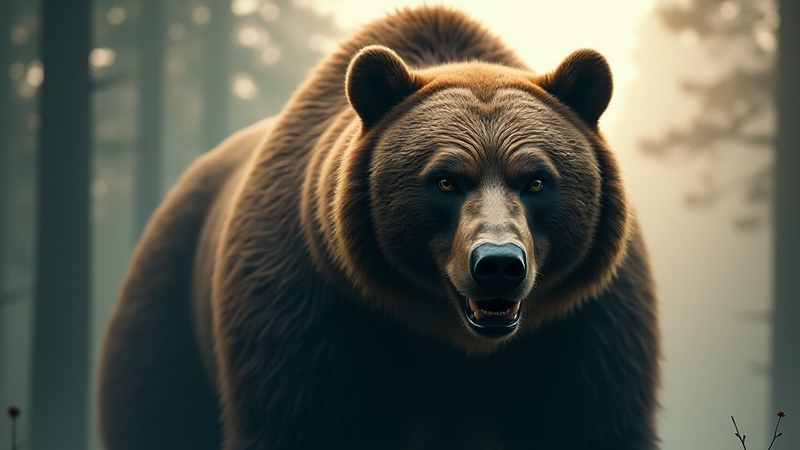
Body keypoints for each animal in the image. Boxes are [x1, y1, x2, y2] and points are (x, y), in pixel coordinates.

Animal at [98, 6, 660, 450]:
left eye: (537, 181)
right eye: (445, 180)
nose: (499, 265)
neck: (454, 342)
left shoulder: (582, 331)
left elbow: (588, 421)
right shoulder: (310, 315)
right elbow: (307, 420)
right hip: (168, 310)